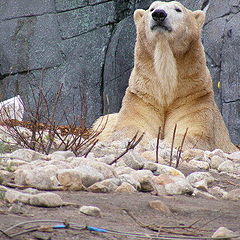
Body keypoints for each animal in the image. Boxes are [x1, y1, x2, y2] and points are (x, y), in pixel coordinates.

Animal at [93, 0, 237, 152]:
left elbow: (190, 133)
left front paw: (164, 145)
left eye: (178, 9)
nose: (159, 14)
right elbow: (130, 127)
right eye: (152, 8)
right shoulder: (143, 95)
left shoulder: (194, 97)